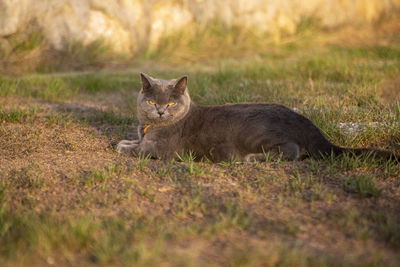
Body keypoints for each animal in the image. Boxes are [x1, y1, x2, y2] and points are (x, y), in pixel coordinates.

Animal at [117, 72, 398, 162]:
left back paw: (253, 158)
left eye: (171, 103)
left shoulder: (160, 149)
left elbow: (139, 149)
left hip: (258, 134)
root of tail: (302, 119)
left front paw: (123, 146)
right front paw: (125, 141)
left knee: (293, 151)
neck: (149, 127)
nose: (160, 110)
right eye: (151, 101)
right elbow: (134, 141)